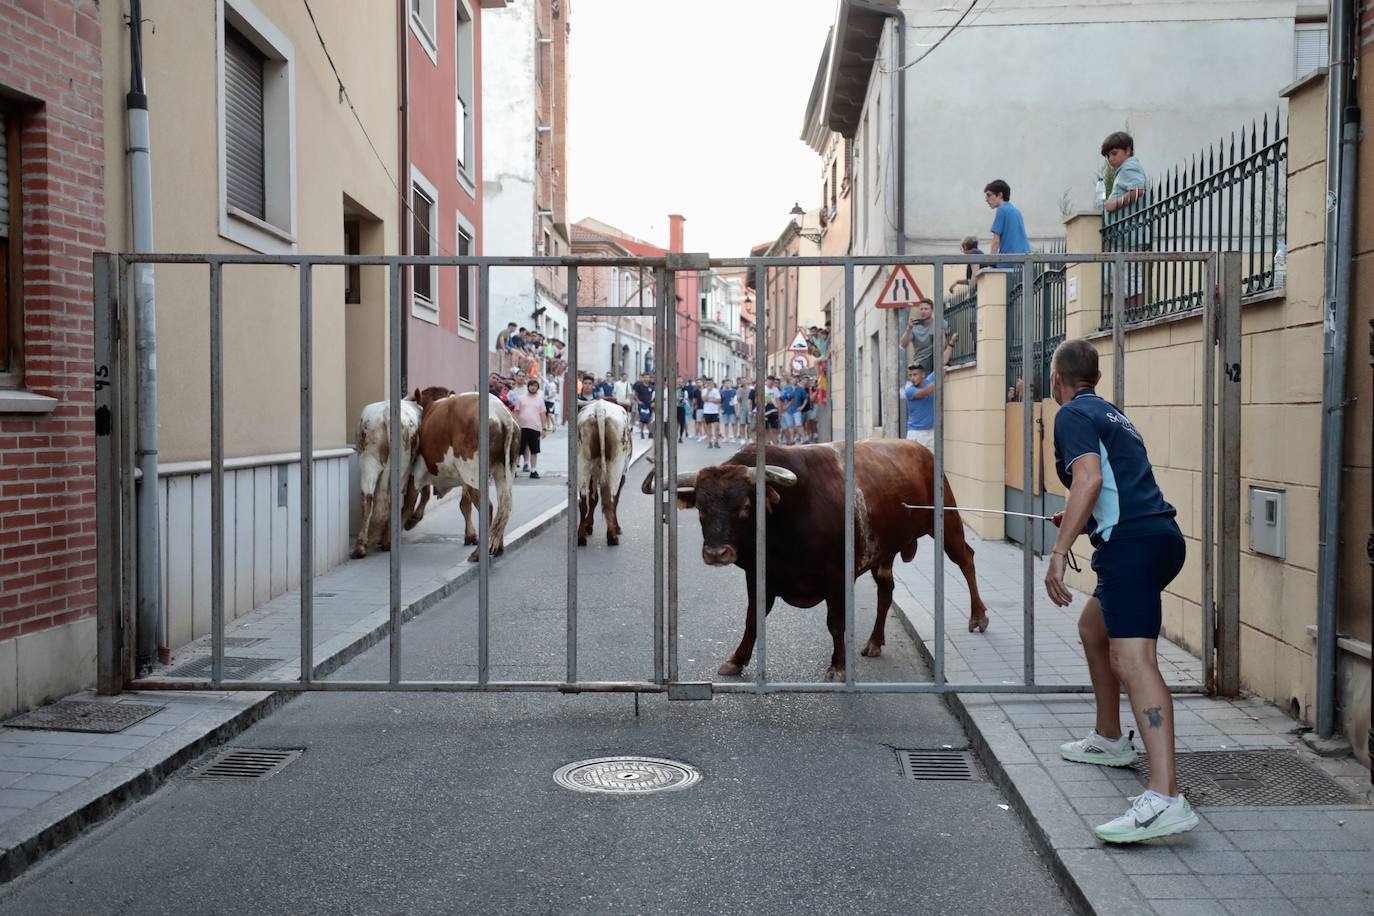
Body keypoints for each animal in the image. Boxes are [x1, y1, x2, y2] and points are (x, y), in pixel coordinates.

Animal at [351, 384, 453, 560]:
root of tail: (385, 413)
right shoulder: (419, 465)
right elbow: (423, 493)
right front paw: (414, 518)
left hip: (368, 460)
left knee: (367, 498)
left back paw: (361, 547)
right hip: (402, 465)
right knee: (393, 498)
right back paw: (388, 541)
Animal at [406, 387, 519, 560]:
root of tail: (502, 414)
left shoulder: (419, 468)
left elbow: (413, 499)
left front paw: (407, 522)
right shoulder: (463, 477)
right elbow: (464, 504)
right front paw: (470, 535)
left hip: (474, 473)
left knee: (488, 508)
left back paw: (478, 553)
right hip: (503, 472)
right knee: (504, 504)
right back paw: (497, 547)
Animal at [574, 398, 632, 543]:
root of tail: (600, 408)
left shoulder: (593, 474)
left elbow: (593, 499)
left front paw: (588, 526)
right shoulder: (623, 473)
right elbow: (614, 500)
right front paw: (617, 527)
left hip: (583, 463)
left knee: (583, 500)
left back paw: (581, 536)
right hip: (615, 465)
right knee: (610, 498)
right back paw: (612, 535)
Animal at [643, 439, 989, 683]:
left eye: (745, 506)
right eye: (701, 508)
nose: (717, 553)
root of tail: (921, 450)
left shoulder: (836, 577)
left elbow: (835, 622)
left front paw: (838, 666)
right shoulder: (758, 575)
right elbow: (752, 619)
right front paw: (736, 660)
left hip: (947, 522)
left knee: (966, 559)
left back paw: (978, 617)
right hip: (884, 552)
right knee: (886, 589)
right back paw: (874, 642)